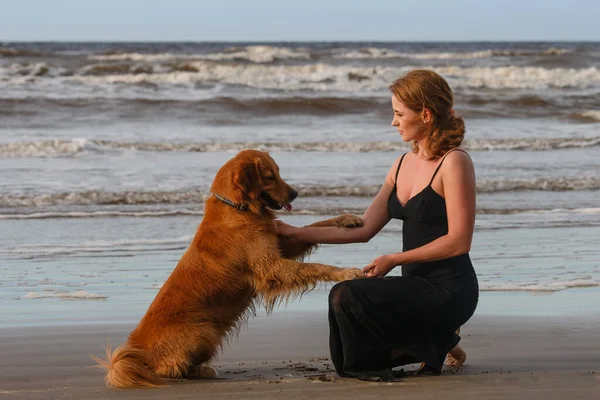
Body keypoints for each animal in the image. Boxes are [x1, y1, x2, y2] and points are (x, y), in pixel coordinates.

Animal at [93, 150, 364, 388]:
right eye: (270, 176)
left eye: (278, 172)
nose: (295, 193)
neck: (237, 206)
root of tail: (136, 357)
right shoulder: (271, 267)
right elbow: (315, 266)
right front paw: (346, 272)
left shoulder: (282, 246)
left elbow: (315, 226)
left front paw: (348, 219)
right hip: (204, 331)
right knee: (169, 369)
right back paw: (199, 371)